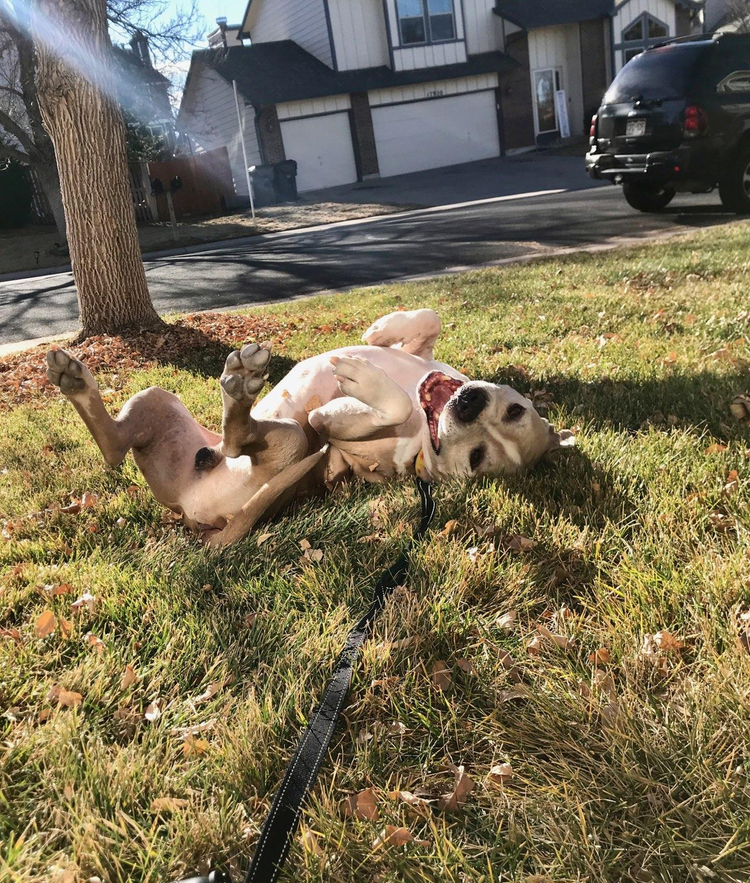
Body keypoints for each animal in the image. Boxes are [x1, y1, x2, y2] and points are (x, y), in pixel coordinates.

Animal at [47, 310, 572, 544]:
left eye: (477, 459)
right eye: (515, 411)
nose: (468, 404)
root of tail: (191, 513)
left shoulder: (331, 429)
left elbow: (381, 406)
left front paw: (364, 380)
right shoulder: (425, 357)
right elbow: (428, 320)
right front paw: (381, 331)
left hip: (287, 441)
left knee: (238, 437)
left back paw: (241, 387)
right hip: (156, 398)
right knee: (115, 445)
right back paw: (74, 379)